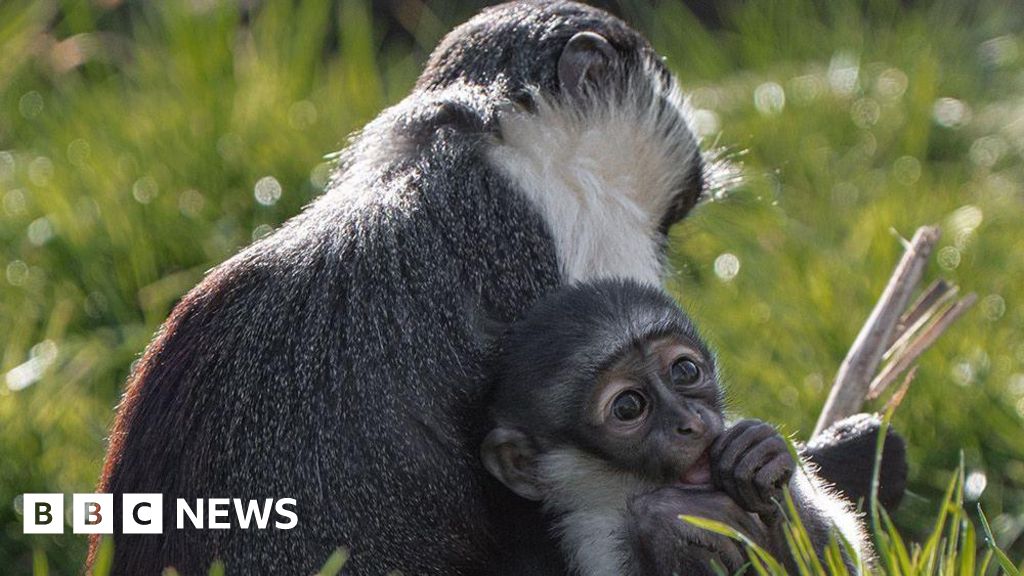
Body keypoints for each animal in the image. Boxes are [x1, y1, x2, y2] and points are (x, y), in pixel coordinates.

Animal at [482, 279, 871, 575]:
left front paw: (760, 456)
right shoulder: (593, 537)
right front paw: (665, 518)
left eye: (685, 370)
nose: (691, 423)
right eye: (628, 407)